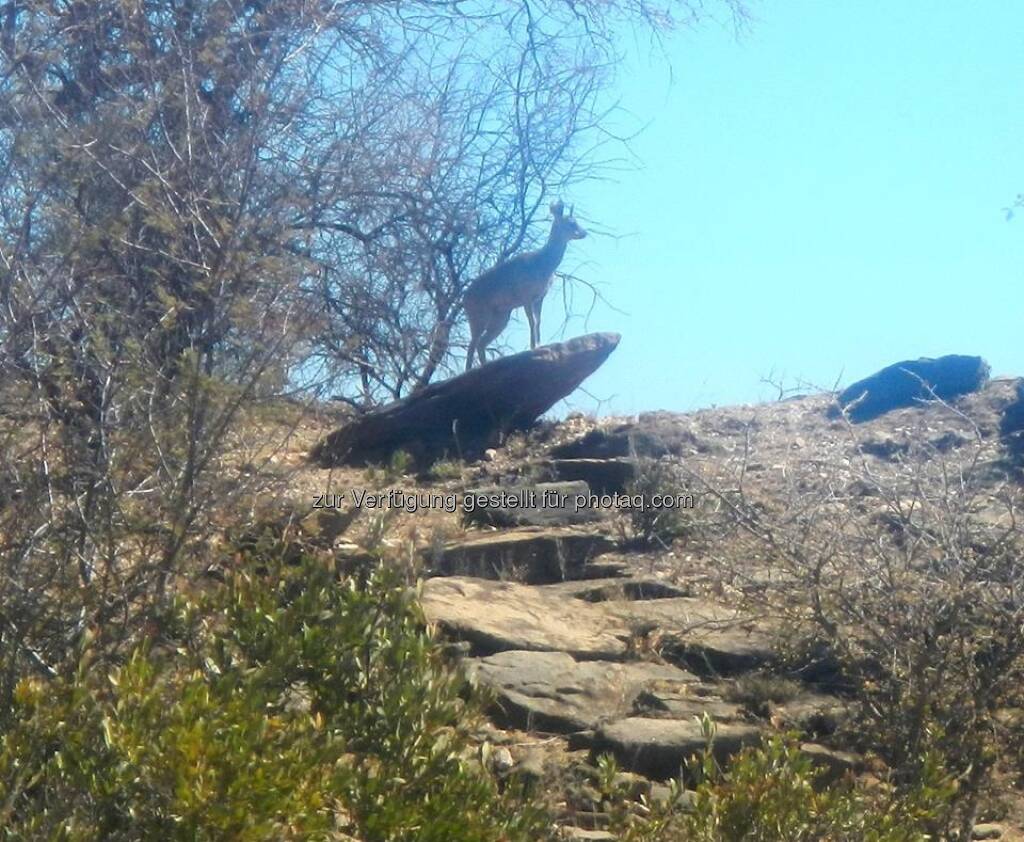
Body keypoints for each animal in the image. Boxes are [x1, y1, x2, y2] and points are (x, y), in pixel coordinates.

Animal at [462, 199, 585, 370]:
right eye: (571, 223)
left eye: (576, 221)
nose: (584, 233)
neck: (544, 264)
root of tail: (463, 299)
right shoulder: (526, 295)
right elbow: (532, 321)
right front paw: (534, 346)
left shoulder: (540, 297)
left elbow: (538, 320)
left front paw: (539, 343)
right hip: (478, 315)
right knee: (472, 345)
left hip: (500, 317)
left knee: (481, 344)